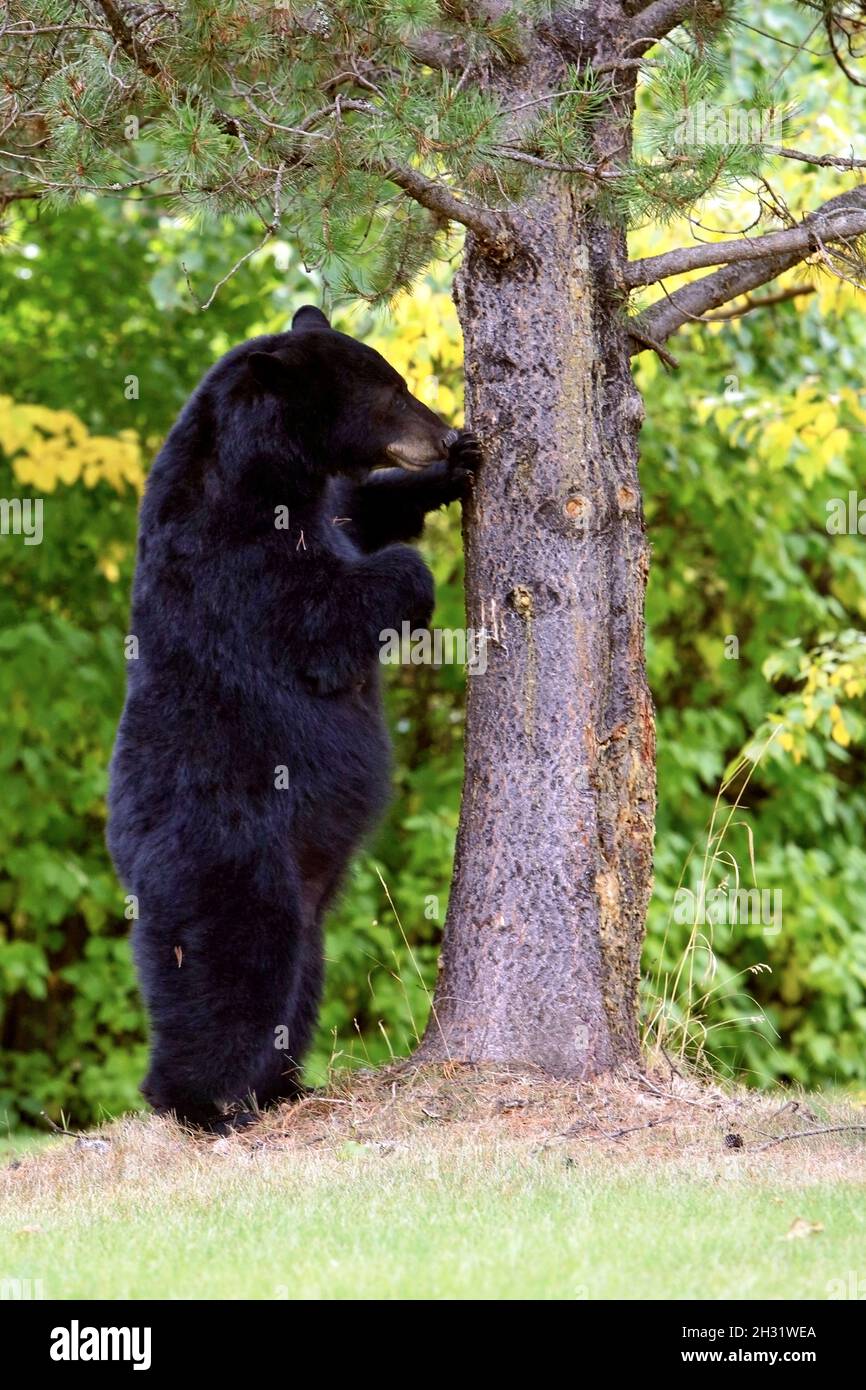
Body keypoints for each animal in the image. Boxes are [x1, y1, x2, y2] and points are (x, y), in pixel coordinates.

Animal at [107, 304, 480, 1128]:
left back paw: (283, 1085)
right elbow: (323, 618)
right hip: (231, 862)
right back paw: (202, 1103)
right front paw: (414, 580)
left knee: (300, 978)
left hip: (307, 898)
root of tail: (126, 861)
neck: (260, 469)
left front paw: (455, 469)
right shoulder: (233, 563)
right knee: (228, 976)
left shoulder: (321, 502)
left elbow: (360, 508)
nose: (442, 434)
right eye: (391, 392)